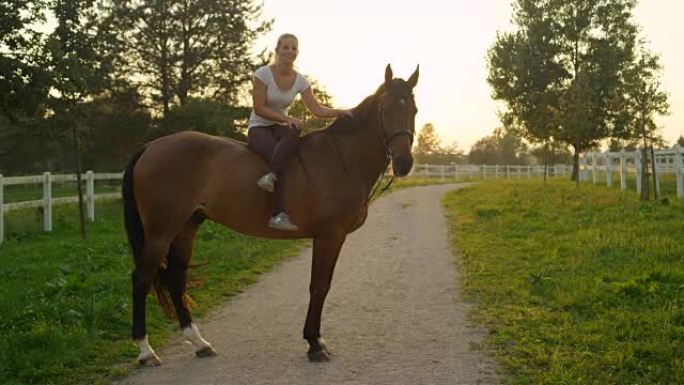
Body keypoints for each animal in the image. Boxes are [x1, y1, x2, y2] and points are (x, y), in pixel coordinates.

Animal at [124, 64, 416, 364]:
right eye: (385, 108)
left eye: (414, 110)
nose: (404, 163)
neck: (341, 158)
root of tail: (150, 147)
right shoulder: (329, 235)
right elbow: (319, 286)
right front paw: (314, 343)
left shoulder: (335, 237)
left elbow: (322, 285)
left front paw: (316, 340)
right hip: (161, 231)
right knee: (142, 278)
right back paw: (146, 351)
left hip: (186, 226)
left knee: (175, 278)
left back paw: (199, 343)